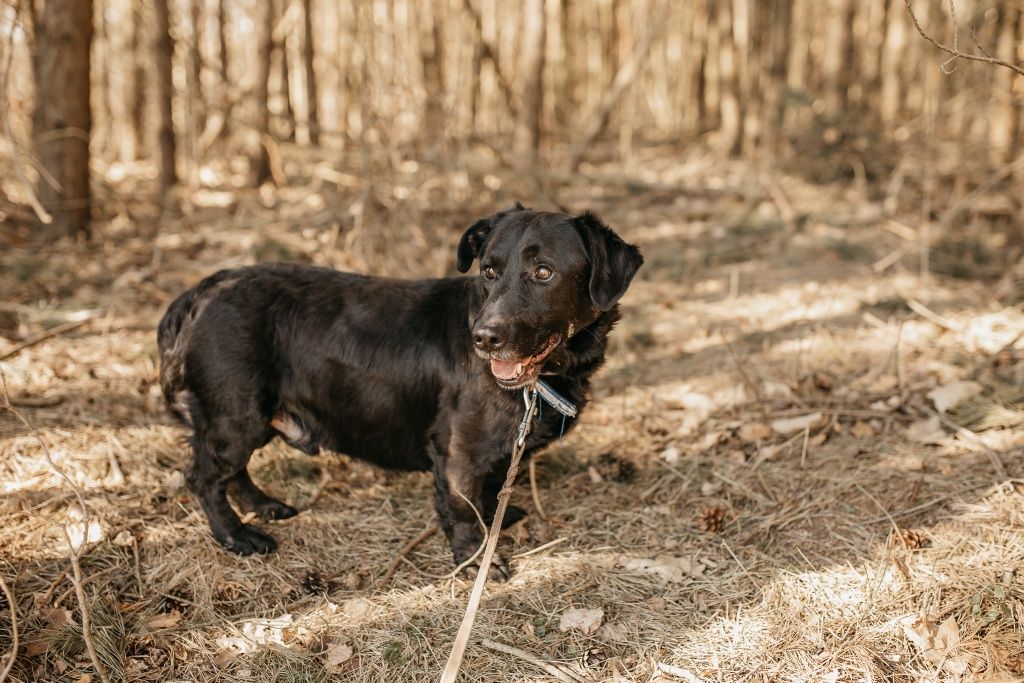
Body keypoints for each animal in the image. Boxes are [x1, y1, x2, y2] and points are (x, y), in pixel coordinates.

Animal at [157, 205, 638, 581]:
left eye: (544, 273)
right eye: (489, 270)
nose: (484, 338)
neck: (541, 379)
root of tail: (199, 293)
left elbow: (488, 490)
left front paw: (497, 517)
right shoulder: (459, 453)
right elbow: (462, 507)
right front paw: (477, 560)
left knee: (233, 472)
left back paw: (264, 505)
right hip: (237, 414)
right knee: (204, 477)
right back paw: (237, 535)